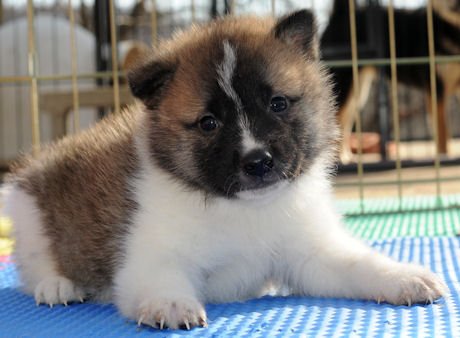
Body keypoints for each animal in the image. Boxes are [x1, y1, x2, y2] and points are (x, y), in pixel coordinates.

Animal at [0, 9, 446, 330]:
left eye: (278, 104)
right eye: (208, 123)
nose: (258, 162)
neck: (243, 210)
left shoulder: (312, 254)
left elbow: (358, 264)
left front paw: (403, 277)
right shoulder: (149, 259)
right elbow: (161, 279)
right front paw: (172, 303)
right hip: (34, 217)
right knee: (36, 264)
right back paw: (57, 285)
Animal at [322, 0, 460, 164]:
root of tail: (340, 14)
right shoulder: (436, 89)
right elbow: (443, 133)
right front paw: (445, 157)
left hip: (357, 92)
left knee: (345, 121)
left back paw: (345, 156)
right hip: (343, 86)